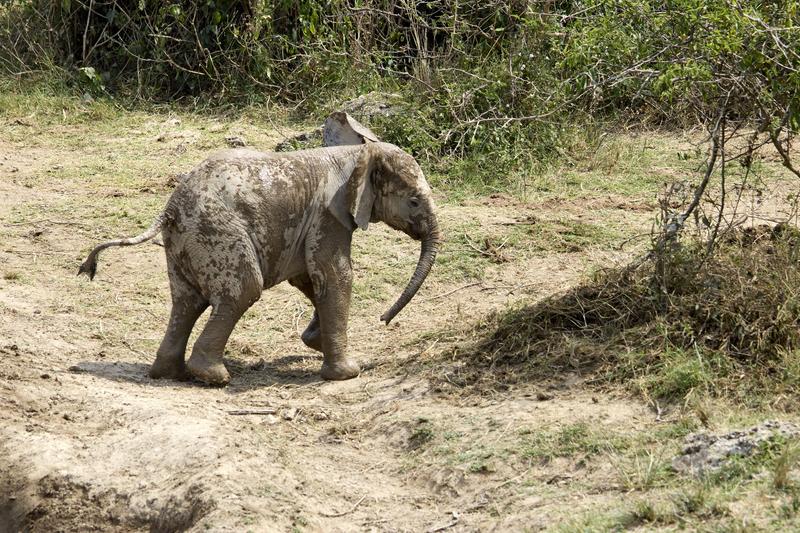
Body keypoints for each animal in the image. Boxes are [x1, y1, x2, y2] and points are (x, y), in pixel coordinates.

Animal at [80, 133, 440, 384]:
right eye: (413, 201)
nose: (384, 319)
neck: (359, 153)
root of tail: (169, 208)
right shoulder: (328, 216)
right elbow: (335, 275)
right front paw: (348, 373)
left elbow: (308, 278)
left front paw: (315, 343)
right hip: (217, 231)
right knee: (242, 291)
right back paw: (213, 377)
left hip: (185, 241)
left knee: (186, 302)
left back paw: (171, 374)